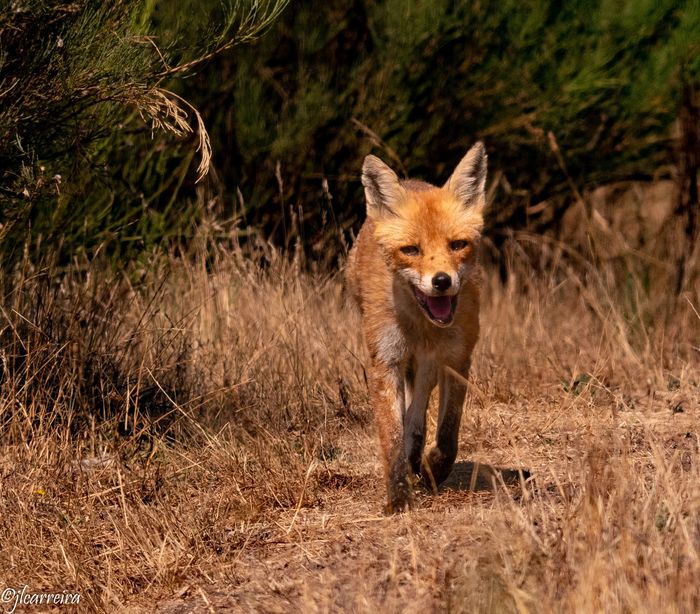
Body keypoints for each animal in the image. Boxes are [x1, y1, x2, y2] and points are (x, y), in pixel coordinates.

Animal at [344, 143, 486, 516]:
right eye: (411, 250)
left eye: (457, 245)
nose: (442, 282)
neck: (423, 326)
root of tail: (414, 180)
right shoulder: (385, 361)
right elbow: (391, 439)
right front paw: (398, 497)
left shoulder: (457, 357)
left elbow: (448, 432)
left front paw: (434, 468)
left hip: (429, 365)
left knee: (419, 406)